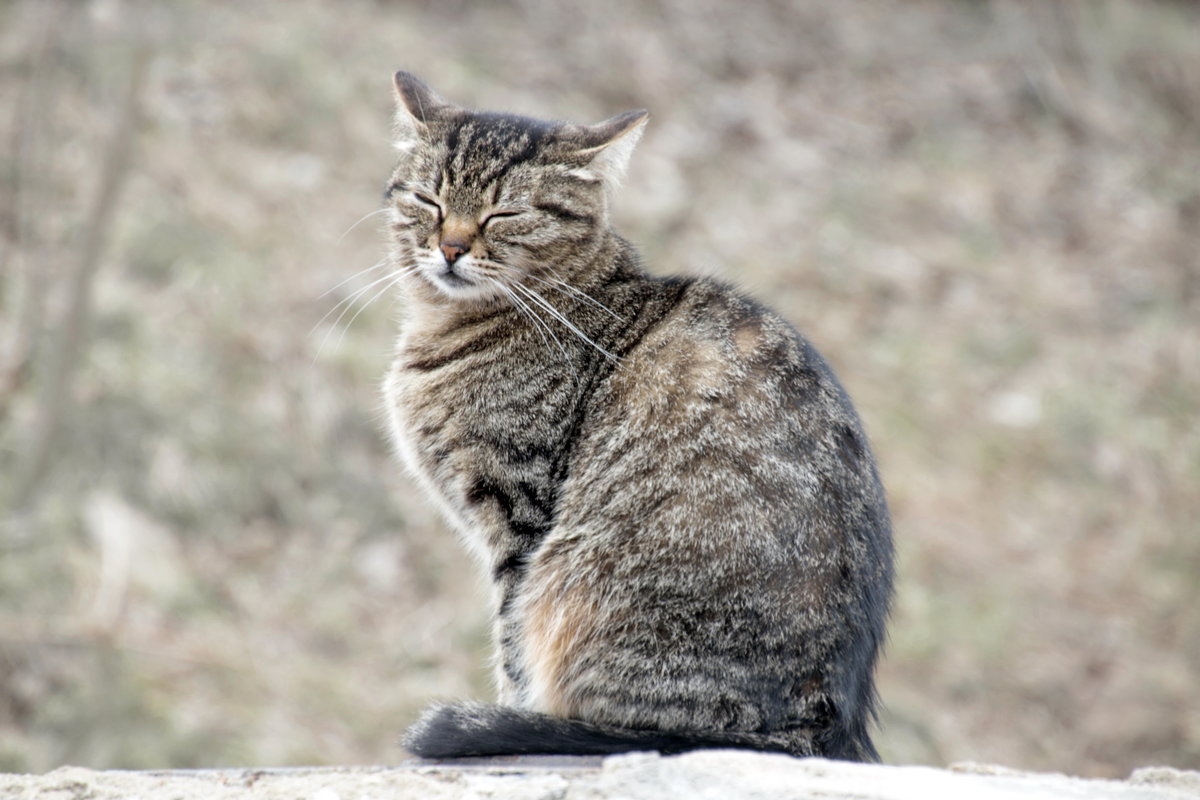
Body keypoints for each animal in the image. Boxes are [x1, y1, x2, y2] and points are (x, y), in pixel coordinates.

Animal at [379, 73, 897, 762]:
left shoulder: (518, 518)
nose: (450, 247)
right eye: (428, 200)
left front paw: (505, 712)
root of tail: (814, 732)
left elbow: (511, 650)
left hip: (576, 584)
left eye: (505, 213)